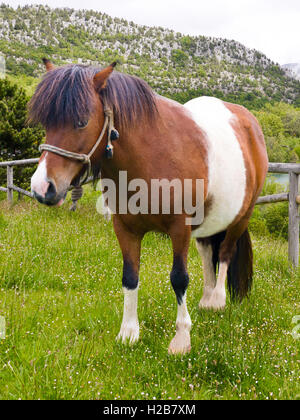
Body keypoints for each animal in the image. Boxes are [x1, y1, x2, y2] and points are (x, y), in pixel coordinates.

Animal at [28, 60, 268, 354]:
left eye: (81, 122)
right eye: (46, 122)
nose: (42, 188)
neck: (152, 154)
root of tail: (250, 125)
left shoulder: (179, 228)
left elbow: (179, 278)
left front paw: (181, 339)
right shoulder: (125, 228)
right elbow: (130, 277)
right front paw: (129, 333)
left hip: (241, 216)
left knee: (224, 252)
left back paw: (217, 300)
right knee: (207, 251)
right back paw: (206, 297)